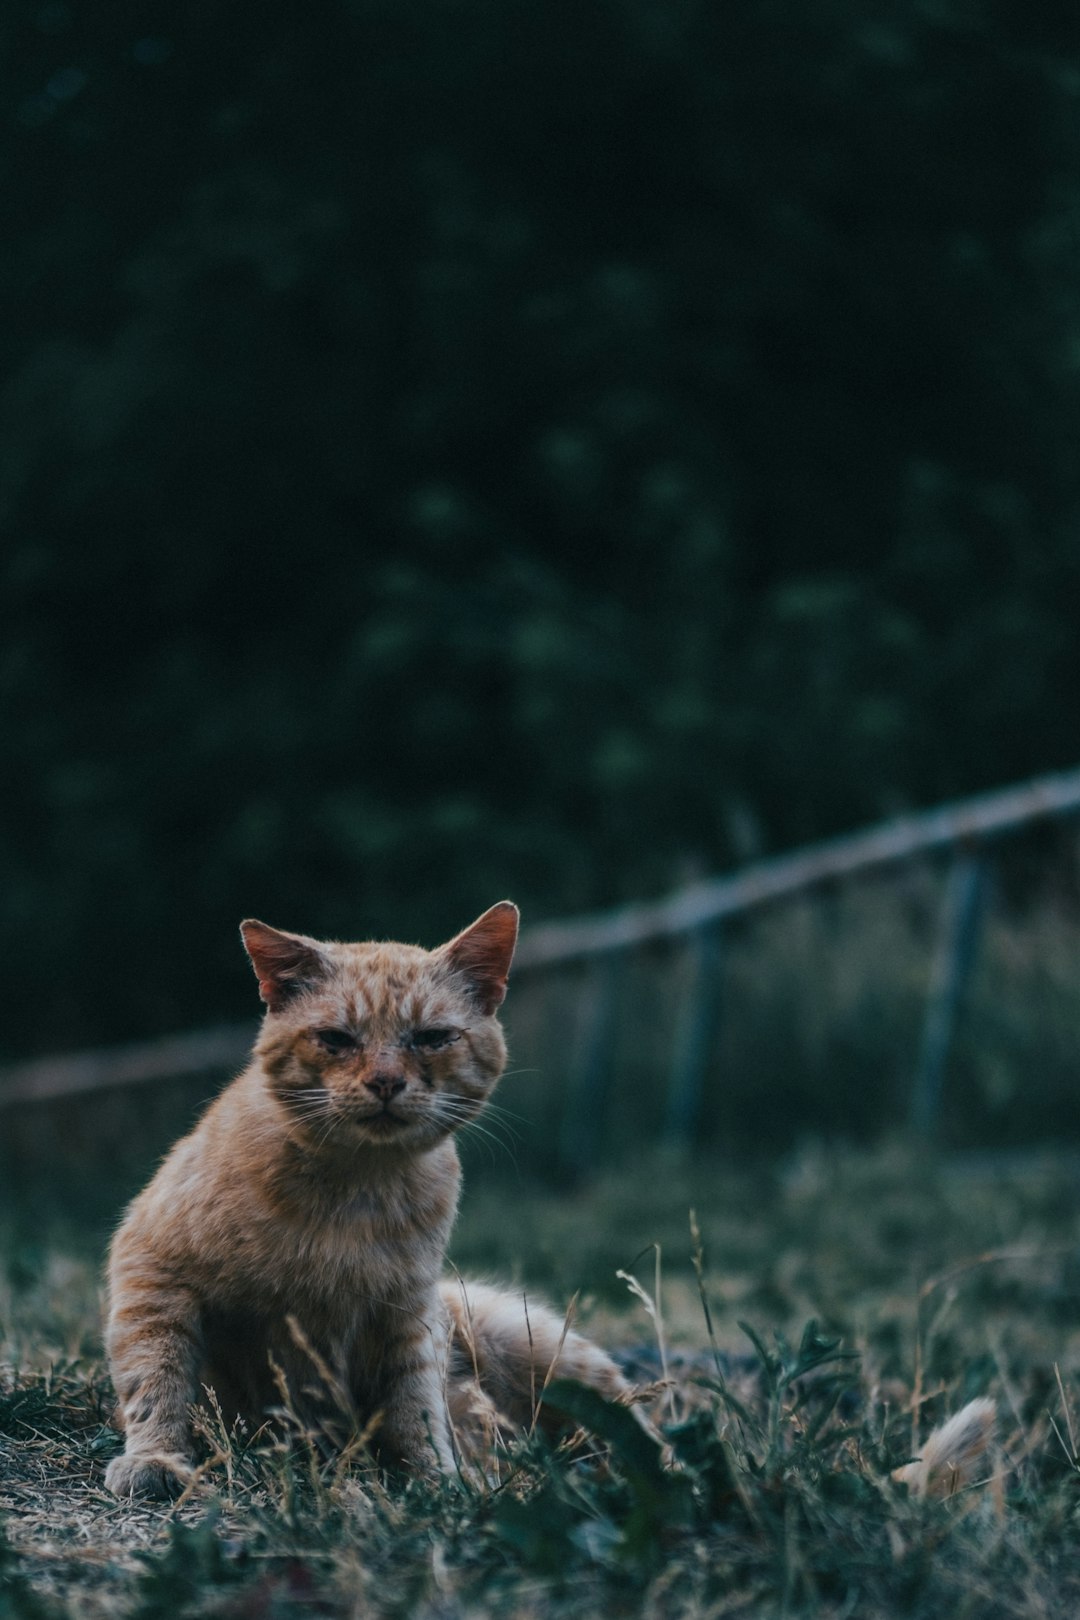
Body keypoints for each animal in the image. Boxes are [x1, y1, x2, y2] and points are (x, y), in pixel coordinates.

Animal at [105, 907, 628, 1496]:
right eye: (336, 1038)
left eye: (431, 1038)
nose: (385, 1082)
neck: (355, 1188)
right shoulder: (152, 1268)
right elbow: (157, 1378)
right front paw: (155, 1459)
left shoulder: (410, 1314)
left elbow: (414, 1404)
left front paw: (435, 1481)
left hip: (546, 1351)